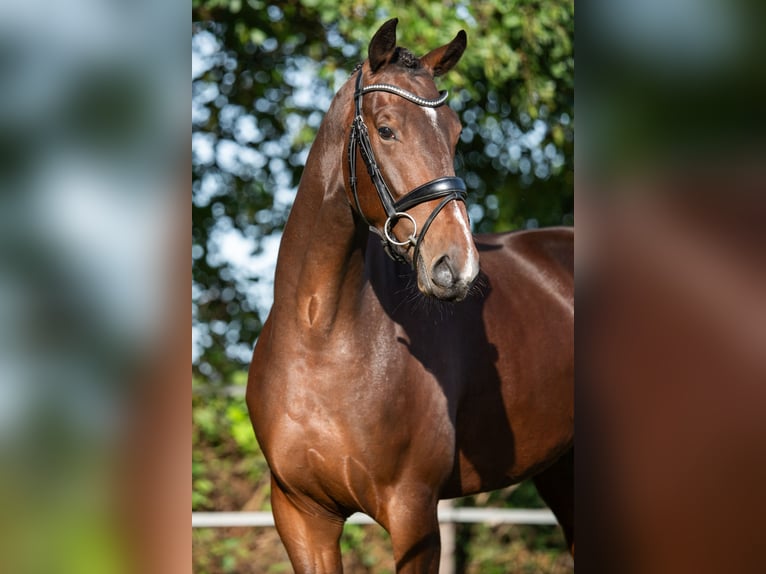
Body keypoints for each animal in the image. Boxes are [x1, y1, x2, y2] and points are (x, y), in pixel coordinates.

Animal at [247, 18, 574, 573]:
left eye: (456, 132)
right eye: (385, 129)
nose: (456, 265)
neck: (320, 335)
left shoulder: (414, 515)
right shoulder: (301, 517)